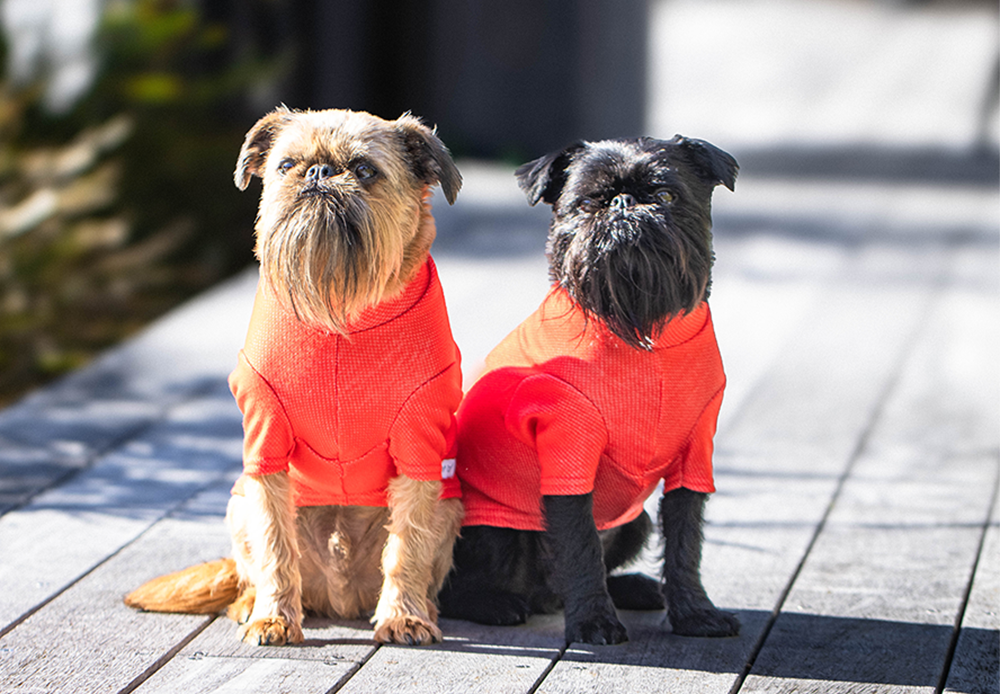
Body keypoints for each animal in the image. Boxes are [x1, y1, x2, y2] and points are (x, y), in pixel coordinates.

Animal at [125, 107, 464, 648]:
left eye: (364, 170)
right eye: (286, 165)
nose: (319, 172)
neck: (340, 314)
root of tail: (342, 598)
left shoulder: (422, 448)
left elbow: (407, 546)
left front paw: (404, 615)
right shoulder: (266, 445)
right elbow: (275, 547)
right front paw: (275, 617)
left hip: (452, 504)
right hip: (237, 499)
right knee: (251, 566)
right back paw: (250, 604)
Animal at [442, 136, 740, 648]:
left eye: (665, 196)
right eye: (586, 204)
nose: (622, 205)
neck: (642, 335)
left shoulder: (695, 456)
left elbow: (686, 543)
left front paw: (696, 613)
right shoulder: (569, 456)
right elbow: (580, 546)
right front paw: (595, 622)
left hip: (634, 521)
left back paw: (634, 587)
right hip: (496, 529)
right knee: (449, 587)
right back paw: (497, 603)